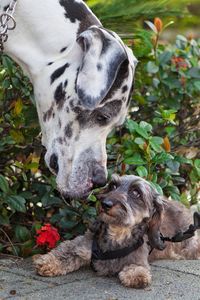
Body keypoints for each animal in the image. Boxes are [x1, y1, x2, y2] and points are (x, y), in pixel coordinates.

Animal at [33, 175, 200, 290]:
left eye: (136, 193)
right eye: (113, 186)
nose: (105, 204)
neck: (117, 233)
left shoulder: (139, 258)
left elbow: (137, 268)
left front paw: (137, 275)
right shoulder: (80, 245)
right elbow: (64, 252)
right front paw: (46, 262)